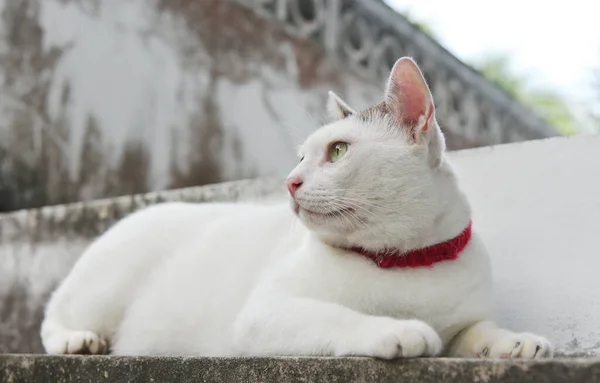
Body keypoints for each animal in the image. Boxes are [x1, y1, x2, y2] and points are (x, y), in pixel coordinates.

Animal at [38, 57, 552, 360]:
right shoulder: (267, 312)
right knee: (51, 317)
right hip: (106, 283)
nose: (290, 182)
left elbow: (479, 329)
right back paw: (78, 341)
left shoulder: (465, 320)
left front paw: (517, 341)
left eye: (338, 151)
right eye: (301, 157)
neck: (404, 259)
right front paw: (398, 329)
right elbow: (338, 316)